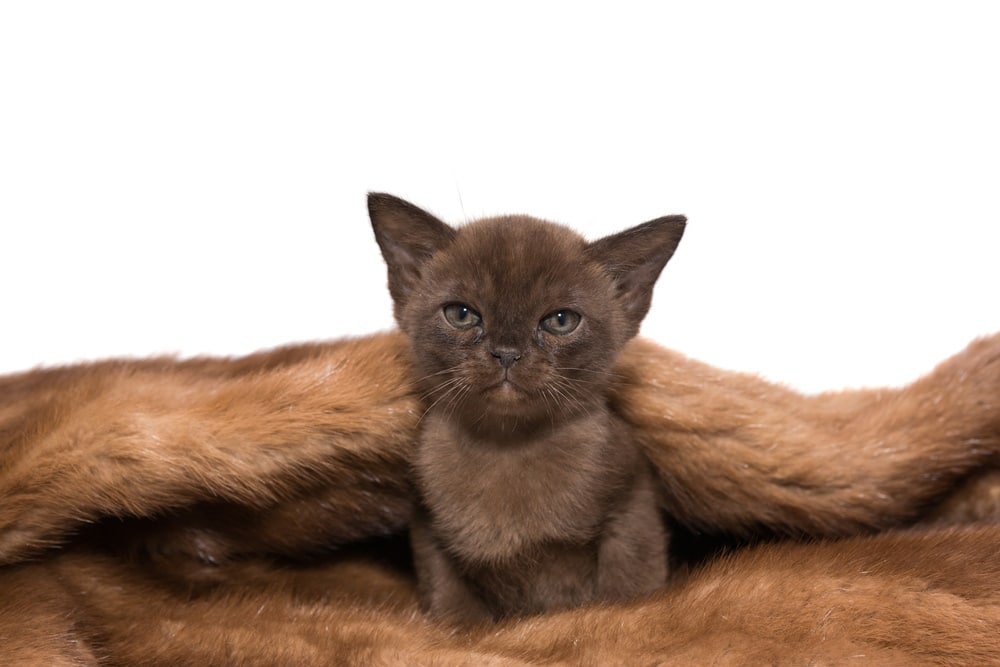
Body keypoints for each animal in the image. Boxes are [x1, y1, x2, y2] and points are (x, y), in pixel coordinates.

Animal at [370, 194, 688, 628]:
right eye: (461, 314)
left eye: (560, 321)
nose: (506, 353)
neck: (507, 447)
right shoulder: (429, 528)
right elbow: (454, 609)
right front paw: (461, 633)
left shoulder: (632, 504)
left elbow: (626, 589)